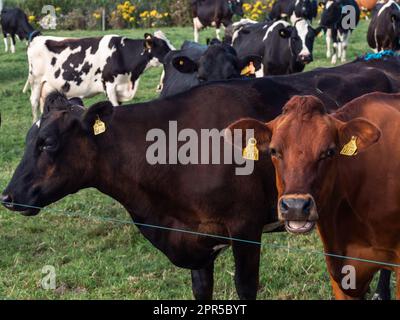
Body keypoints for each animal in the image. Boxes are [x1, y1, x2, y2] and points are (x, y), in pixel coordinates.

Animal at [23, 31, 173, 122]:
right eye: (163, 46)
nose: (175, 52)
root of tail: (37, 38)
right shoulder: (110, 85)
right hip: (36, 80)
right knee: (34, 102)